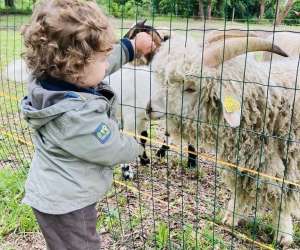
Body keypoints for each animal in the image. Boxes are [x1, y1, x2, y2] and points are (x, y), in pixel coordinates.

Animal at [148, 34, 300, 247]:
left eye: (191, 88)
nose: (149, 108)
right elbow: (238, 187)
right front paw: (231, 216)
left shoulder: (288, 163)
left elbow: (283, 198)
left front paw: (284, 234)